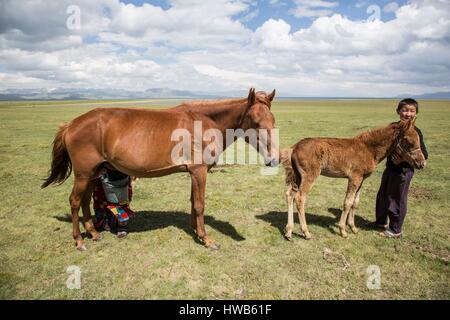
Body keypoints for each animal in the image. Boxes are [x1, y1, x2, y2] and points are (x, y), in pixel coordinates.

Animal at [282, 118, 426, 240]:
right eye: (411, 142)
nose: (422, 163)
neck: (369, 149)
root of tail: (294, 148)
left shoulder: (361, 179)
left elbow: (355, 202)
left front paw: (353, 228)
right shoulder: (354, 178)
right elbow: (348, 202)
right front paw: (343, 231)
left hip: (298, 176)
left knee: (290, 195)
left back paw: (289, 231)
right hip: (309, 176)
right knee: (300, 198)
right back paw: (306, 232)